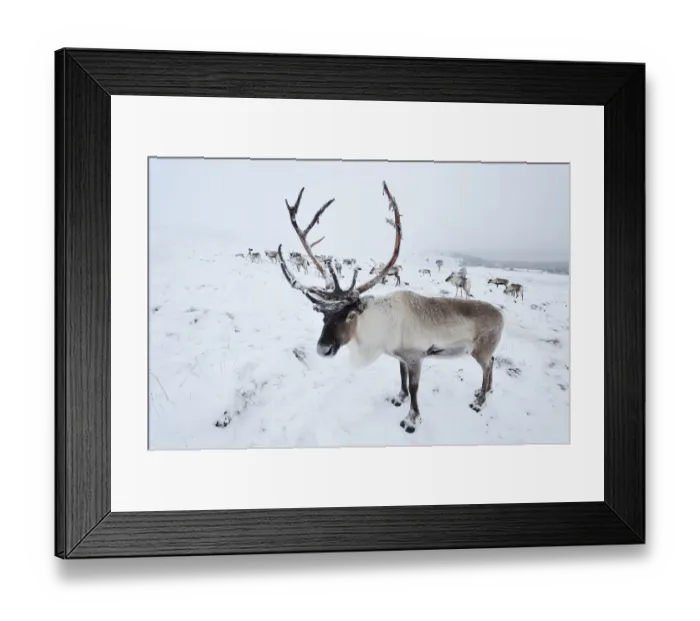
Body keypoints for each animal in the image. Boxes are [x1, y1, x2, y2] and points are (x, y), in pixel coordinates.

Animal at [276, 181, 505, 434]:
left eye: (350, 315)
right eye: (324, 317)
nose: (323, 348)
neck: (380, 325)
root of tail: (502, 316)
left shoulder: (416, 356)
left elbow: (414, 388)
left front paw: (411, 419)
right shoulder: (400, 356)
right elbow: (401, 377)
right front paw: (399, 397)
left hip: (480, 350)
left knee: (487, 366)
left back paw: (480, 401)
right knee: (493, 363)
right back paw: (485, 392)